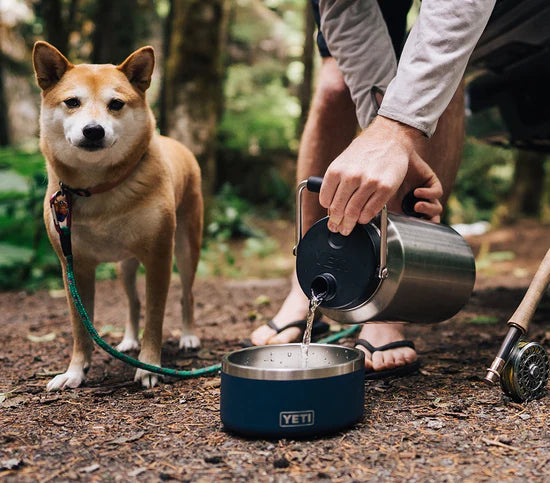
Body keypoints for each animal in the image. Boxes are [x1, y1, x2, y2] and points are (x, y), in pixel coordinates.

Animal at [30, 40, 203, 390]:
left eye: (116, 104)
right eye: (72, 102)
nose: (93, 131)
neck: (98, 190)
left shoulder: (159, 257)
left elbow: (155, 317)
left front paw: (149, 366)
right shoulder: (74, 266)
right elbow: (81, 327)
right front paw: (75, 372)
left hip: (186, 248)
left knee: (186, 295)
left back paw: (189, 336)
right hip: (125, 265)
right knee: (133, 302)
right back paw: (128, 341)